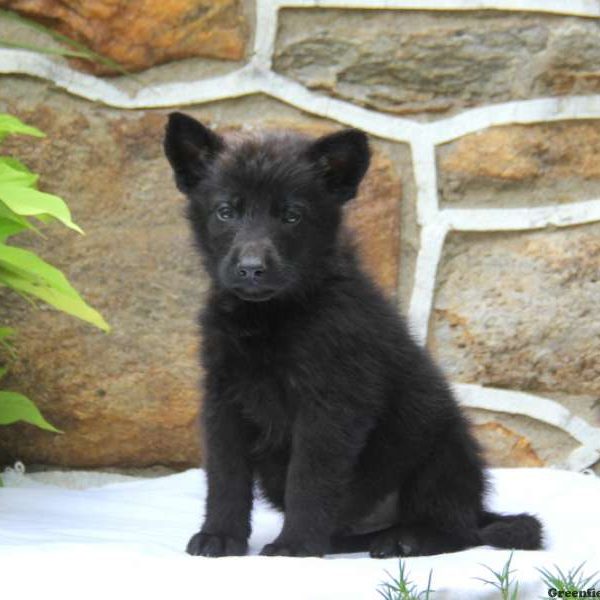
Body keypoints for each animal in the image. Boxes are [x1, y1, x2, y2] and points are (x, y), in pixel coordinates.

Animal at [164, 113, 544, 556]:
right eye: (226, 212)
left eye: (291, 215)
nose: (252, 269)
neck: (274, 314)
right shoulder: (224, 400)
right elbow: (226, 477)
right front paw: (220, 535)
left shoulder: (330, 405)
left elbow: (308, 480)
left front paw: (295, 545)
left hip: (443, 448)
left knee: (460, 530)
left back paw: (407, 540)